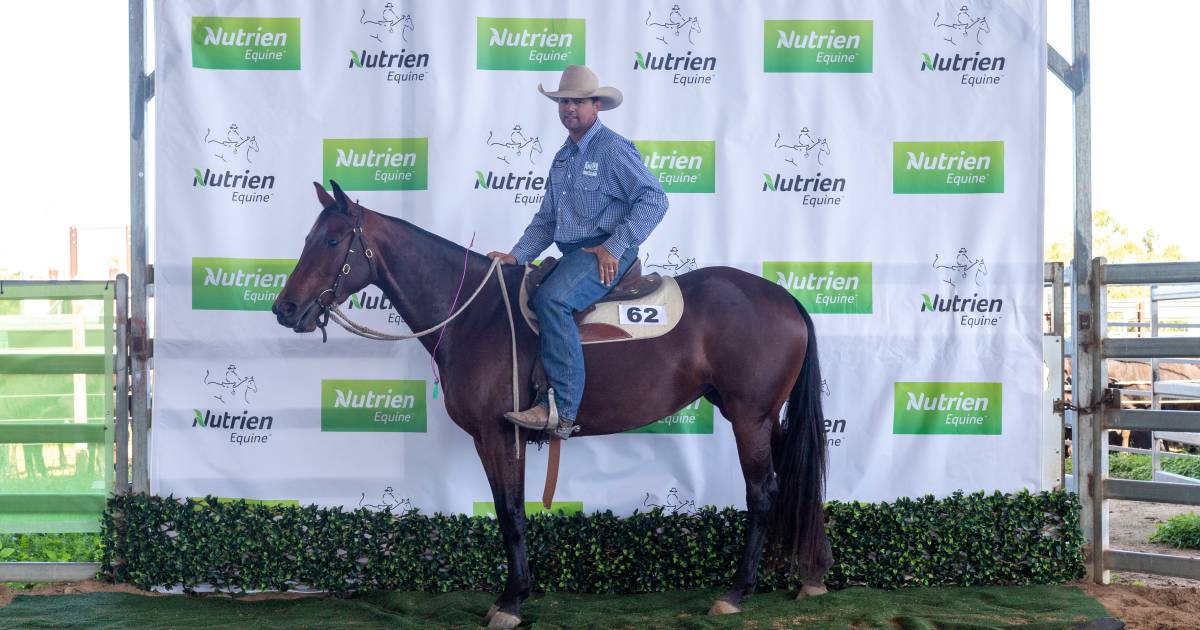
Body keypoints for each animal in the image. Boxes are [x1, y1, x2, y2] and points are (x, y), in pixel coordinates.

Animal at [274, 180, 830, 624]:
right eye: (305, 238)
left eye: (331, 240)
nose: (285, 309)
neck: (474, 315)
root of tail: (785, 298)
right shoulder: (503, 437)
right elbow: (511, 508)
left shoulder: (496, 433)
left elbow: (509, 513)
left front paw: (511, 601)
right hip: (764, 416)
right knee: (798, 477)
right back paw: (813, 575)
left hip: (749, 416)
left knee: (763, 490)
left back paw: (736, 592)